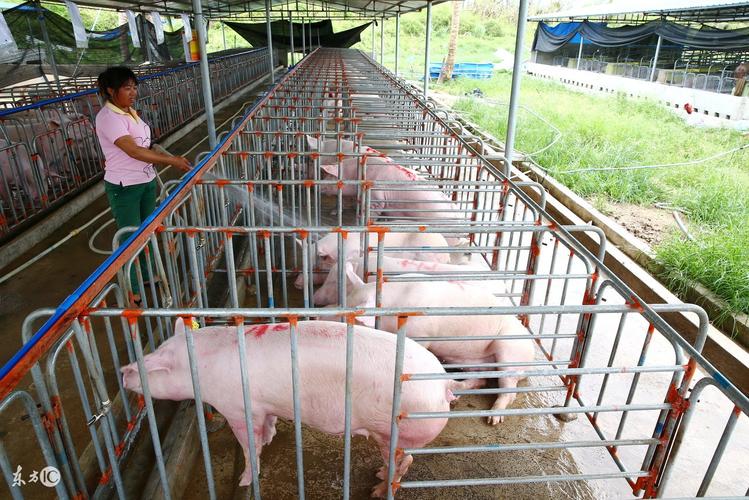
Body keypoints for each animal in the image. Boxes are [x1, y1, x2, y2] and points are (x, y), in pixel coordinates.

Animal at [121, 320, 456, 496]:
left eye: (158, 367)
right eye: (158, 348)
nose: (124, 370)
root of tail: (443, 382)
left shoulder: (237, 408)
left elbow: (249, 446)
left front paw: (244, 481)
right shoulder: (264, 405)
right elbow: (268, 424)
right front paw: (270, 437)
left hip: (397, 430)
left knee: (406, 460)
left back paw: (377, 490)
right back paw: (377, 474)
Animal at [342, 262, 536, 426]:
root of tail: (531, 360)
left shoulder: (421, 335)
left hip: (510, 351)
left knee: (509, 390)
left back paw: (492, 419)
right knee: (481, 379)